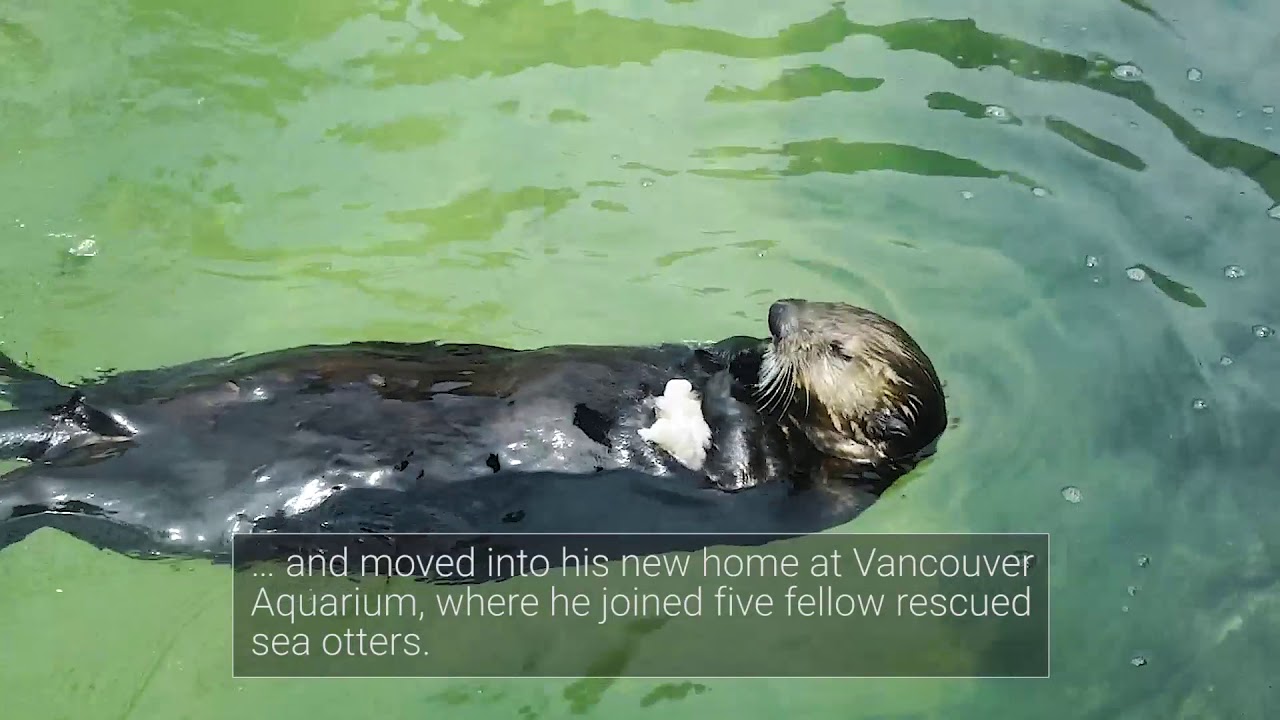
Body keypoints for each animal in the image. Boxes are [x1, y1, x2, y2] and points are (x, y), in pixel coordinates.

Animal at [0, 299, 946, 562]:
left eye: (837, 348)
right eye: (815, 311)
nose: (780, 314)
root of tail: (103, 426)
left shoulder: (792, 495)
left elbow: (736, 466)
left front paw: (729, 394)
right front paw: (731, 358)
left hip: (153, 500)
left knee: (54, 485)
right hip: (166, 397)